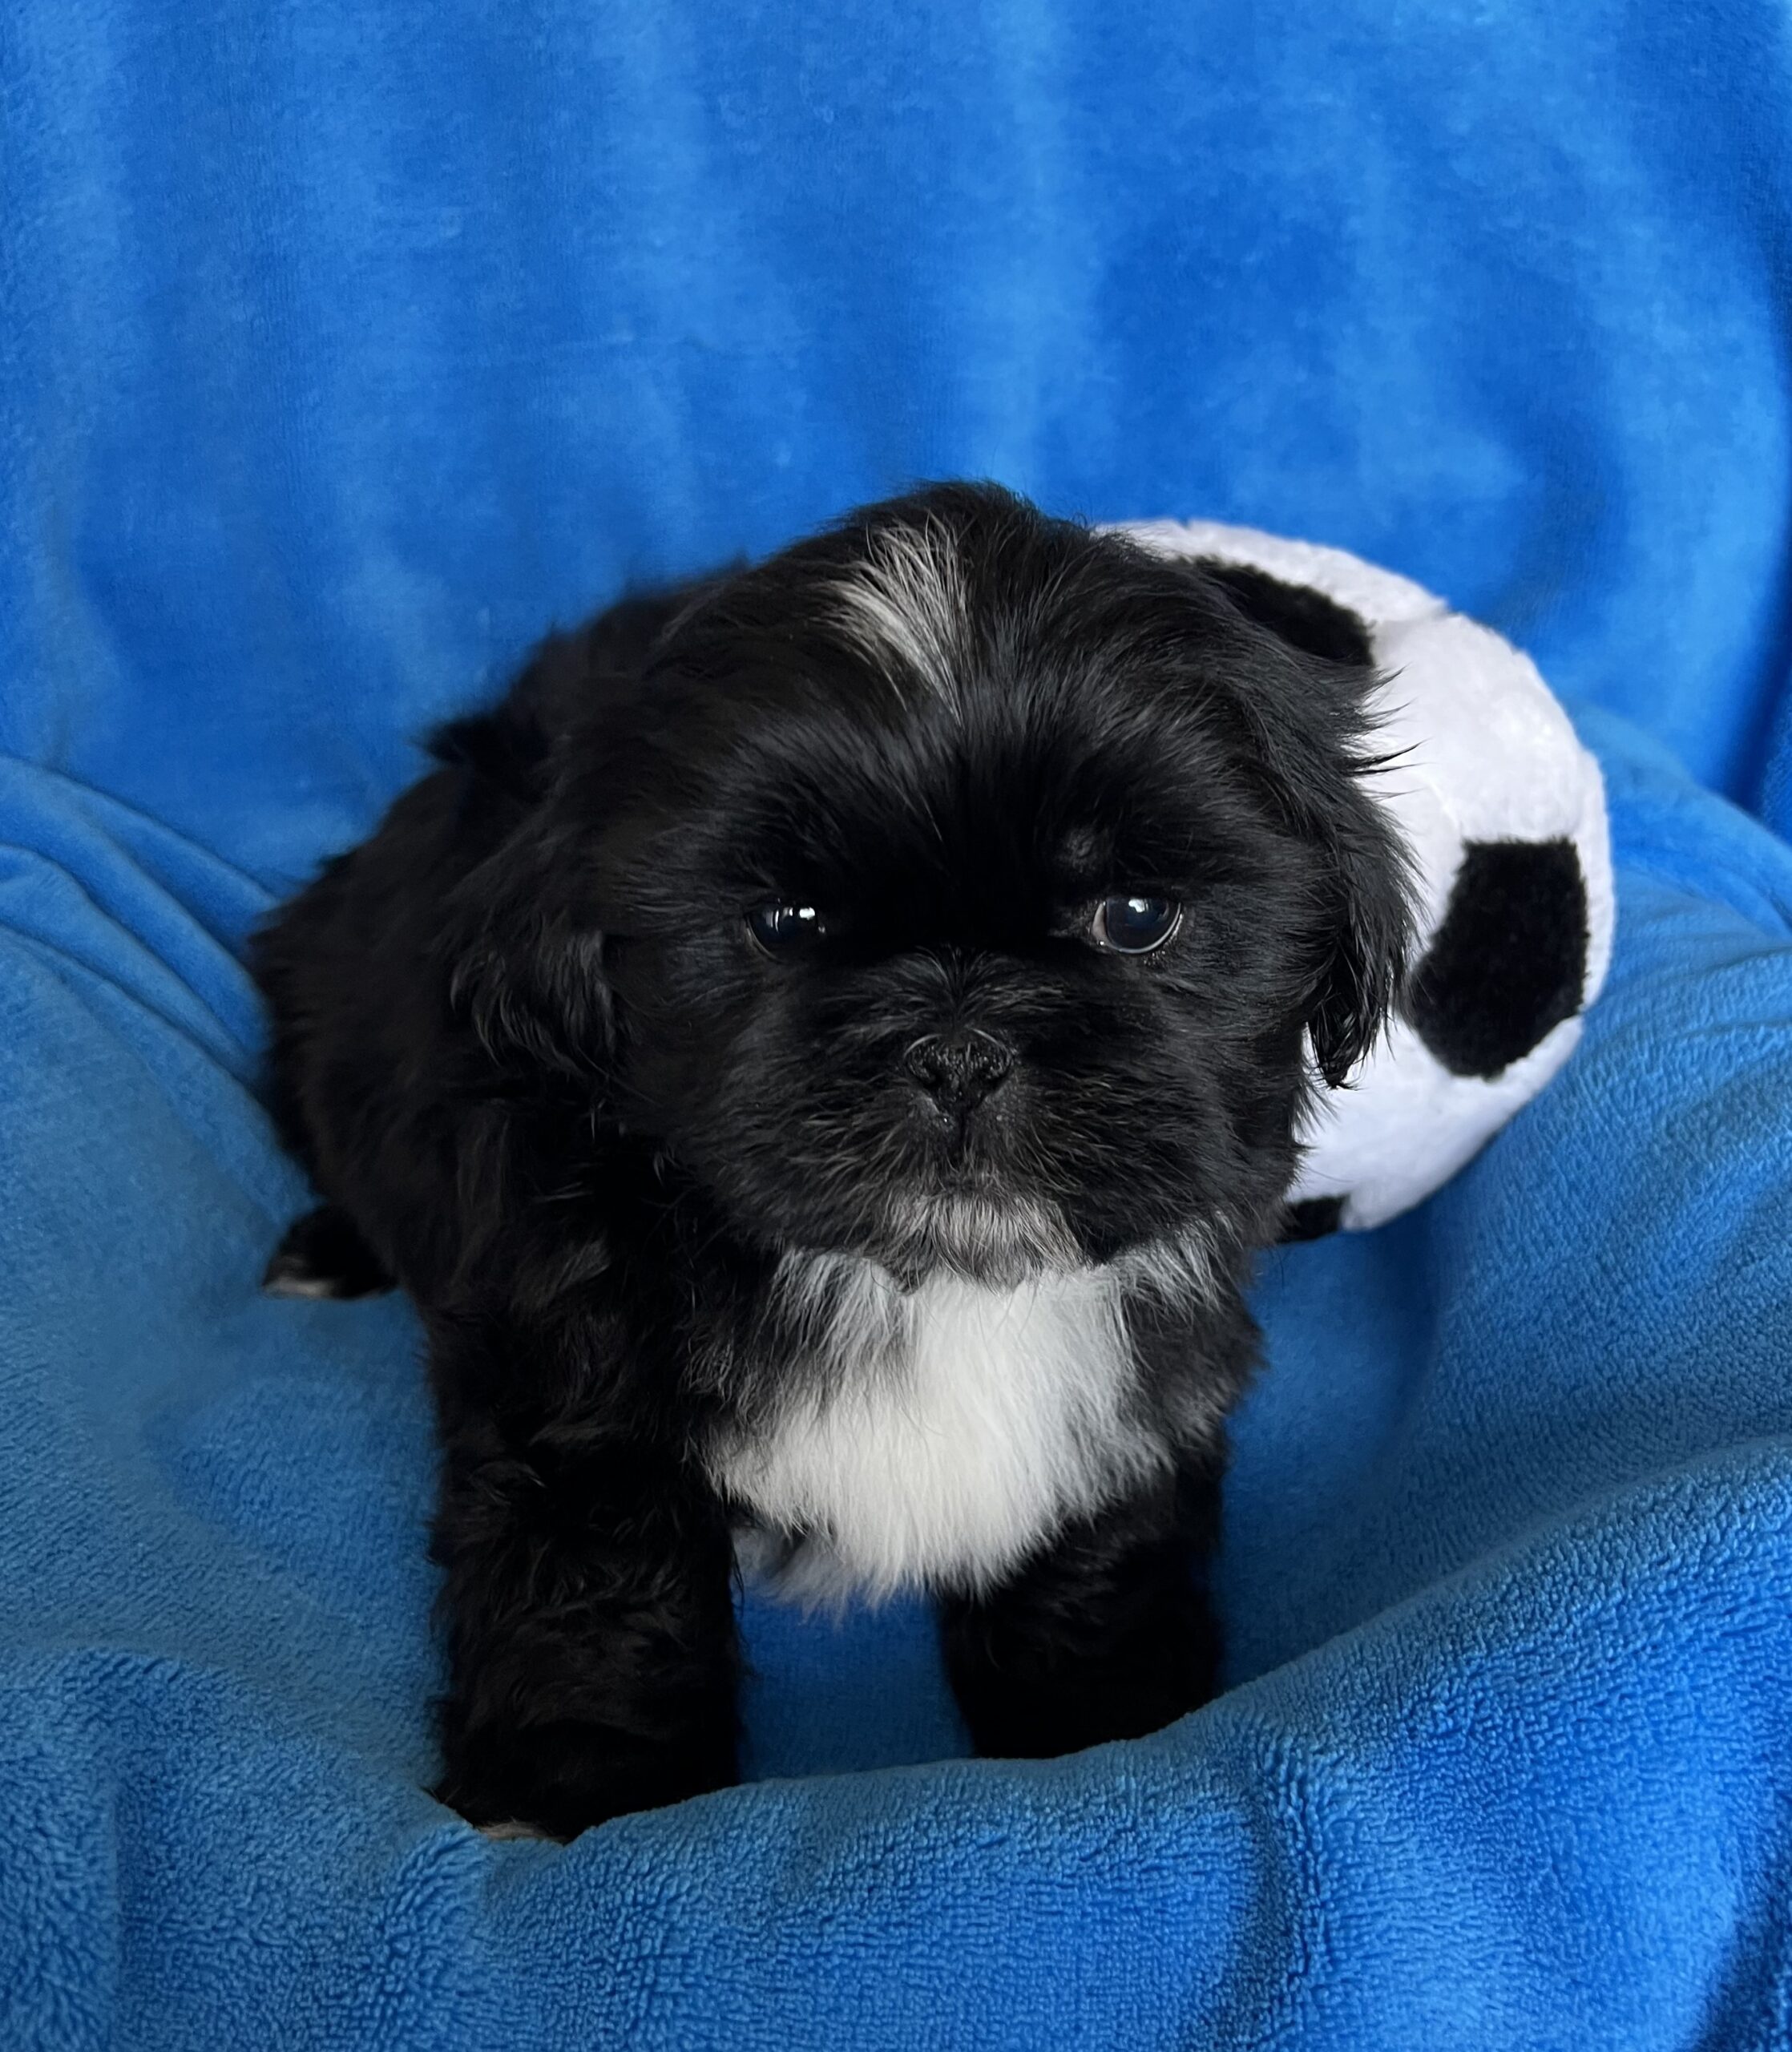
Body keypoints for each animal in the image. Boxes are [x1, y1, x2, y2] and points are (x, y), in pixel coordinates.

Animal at [251, 481, 1414, 1839]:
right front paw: (576, 1791)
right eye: (787, 924)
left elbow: (1095, 1555)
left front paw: (1106, 1716)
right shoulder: (565, 1372)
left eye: (1134, 918)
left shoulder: (1142, 1391)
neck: (924, 1284)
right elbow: (592, 1581)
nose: (961, 1045)